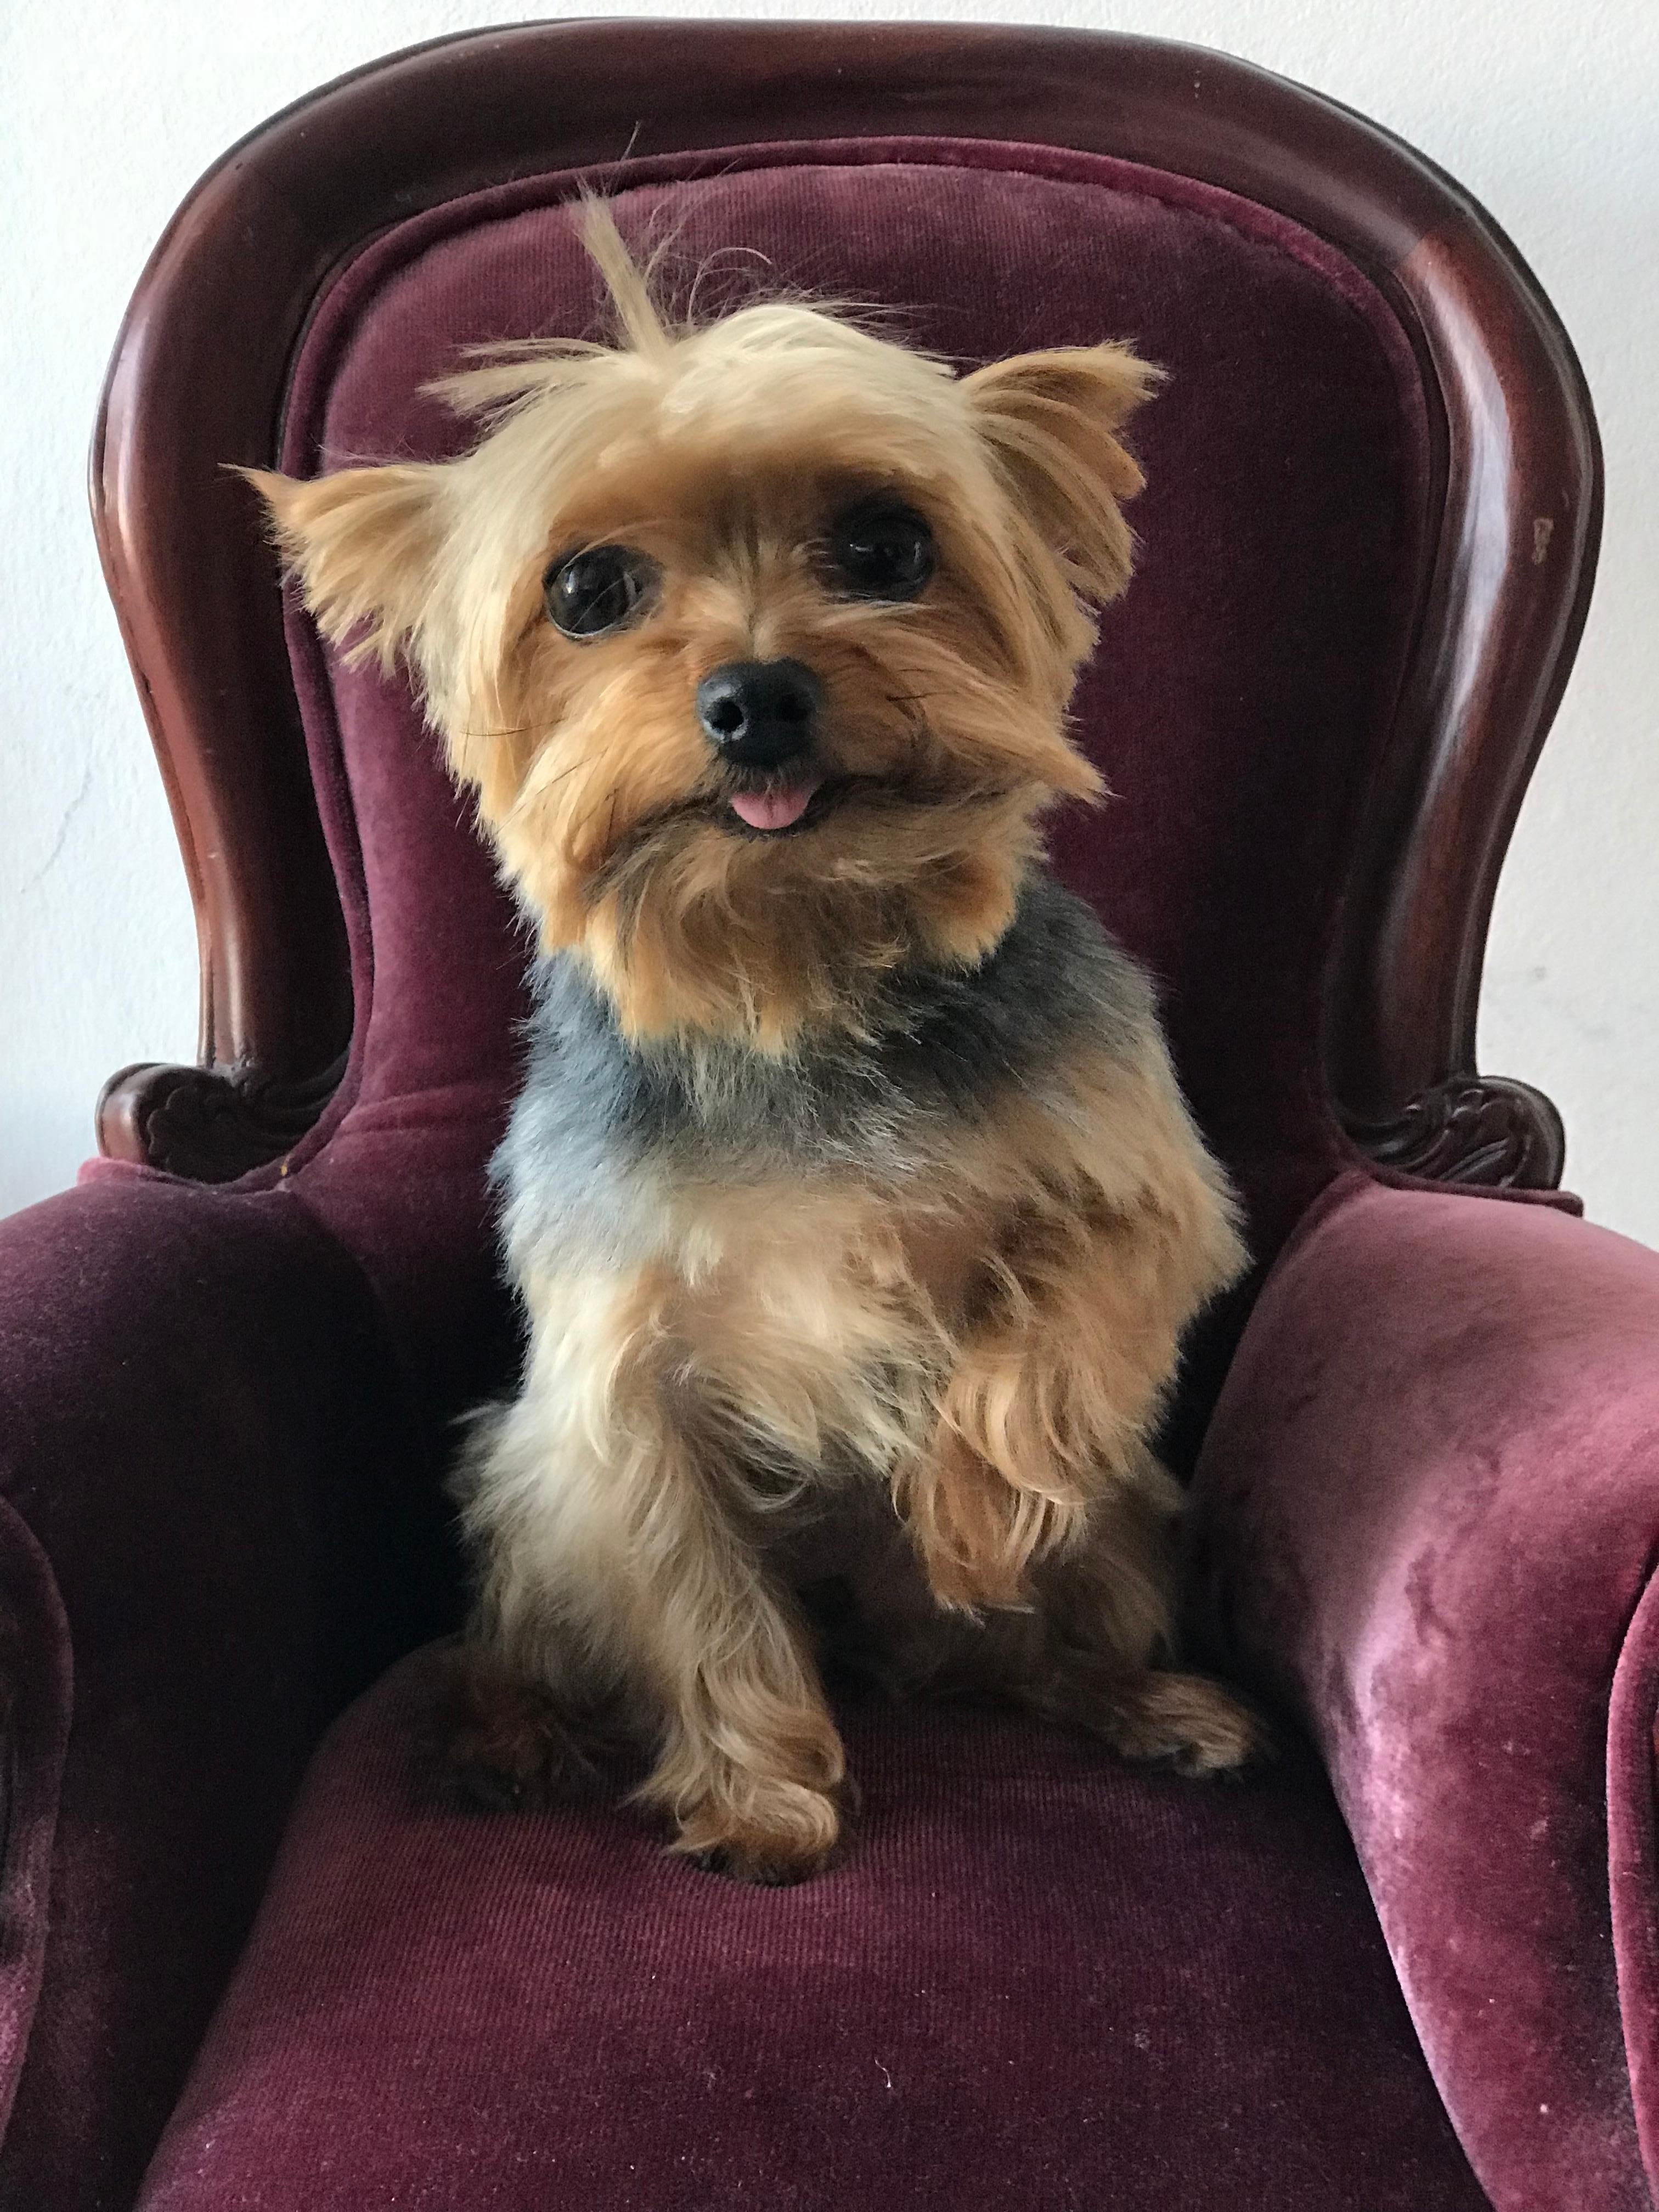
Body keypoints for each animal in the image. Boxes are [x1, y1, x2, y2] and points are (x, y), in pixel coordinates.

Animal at [253, 203, 1256, 1884]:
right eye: (589, 590)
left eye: (886, 547)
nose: (758, 694)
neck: (797, 977)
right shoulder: (619, 1382)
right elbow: (701, 1593)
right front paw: (761, 1800)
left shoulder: (1138, 1174)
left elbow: (1070, 1320)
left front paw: (969, 1507)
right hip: (528, 1490)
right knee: (529, 1632)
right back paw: (509, 1740)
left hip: (1128, 1511)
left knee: (1028, 1639)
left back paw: (1138, 1699)